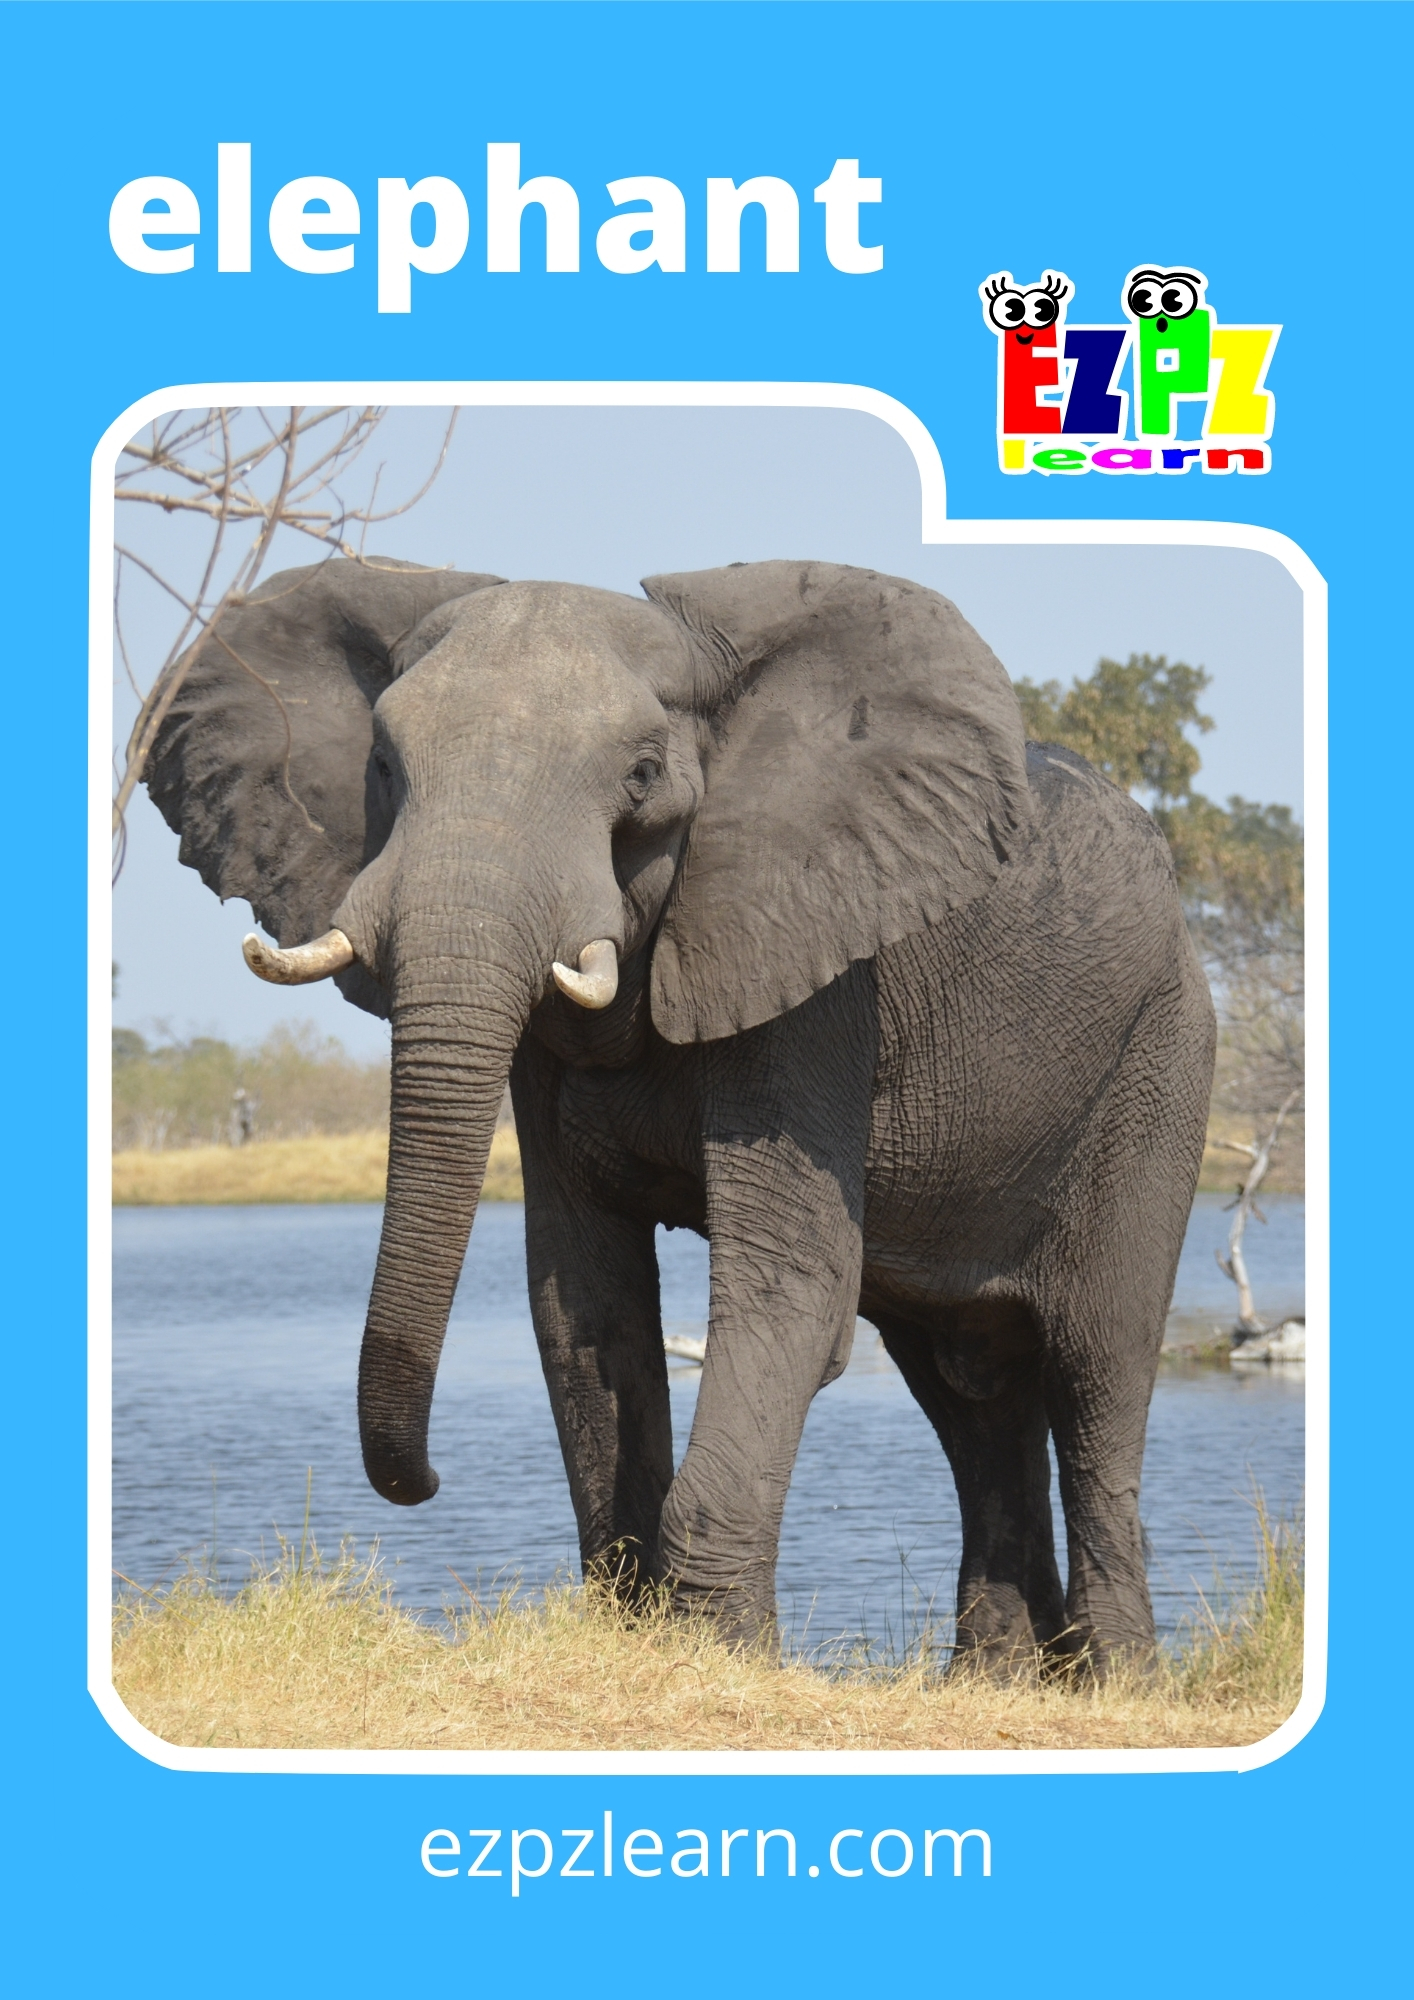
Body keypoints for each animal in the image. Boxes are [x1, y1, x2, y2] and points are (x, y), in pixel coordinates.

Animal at [146, 553, 1215, 1671]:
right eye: (386, 766)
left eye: (642, 775)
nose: (428, 1481)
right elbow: (583, 1296)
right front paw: (638, 1628)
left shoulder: (814, 969)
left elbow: (790, 1288)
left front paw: (724, 1651)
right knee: (968, 1387)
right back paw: (1002, 1679)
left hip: (1161, 1061)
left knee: (1098, 1364)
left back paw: (1117, 1679)